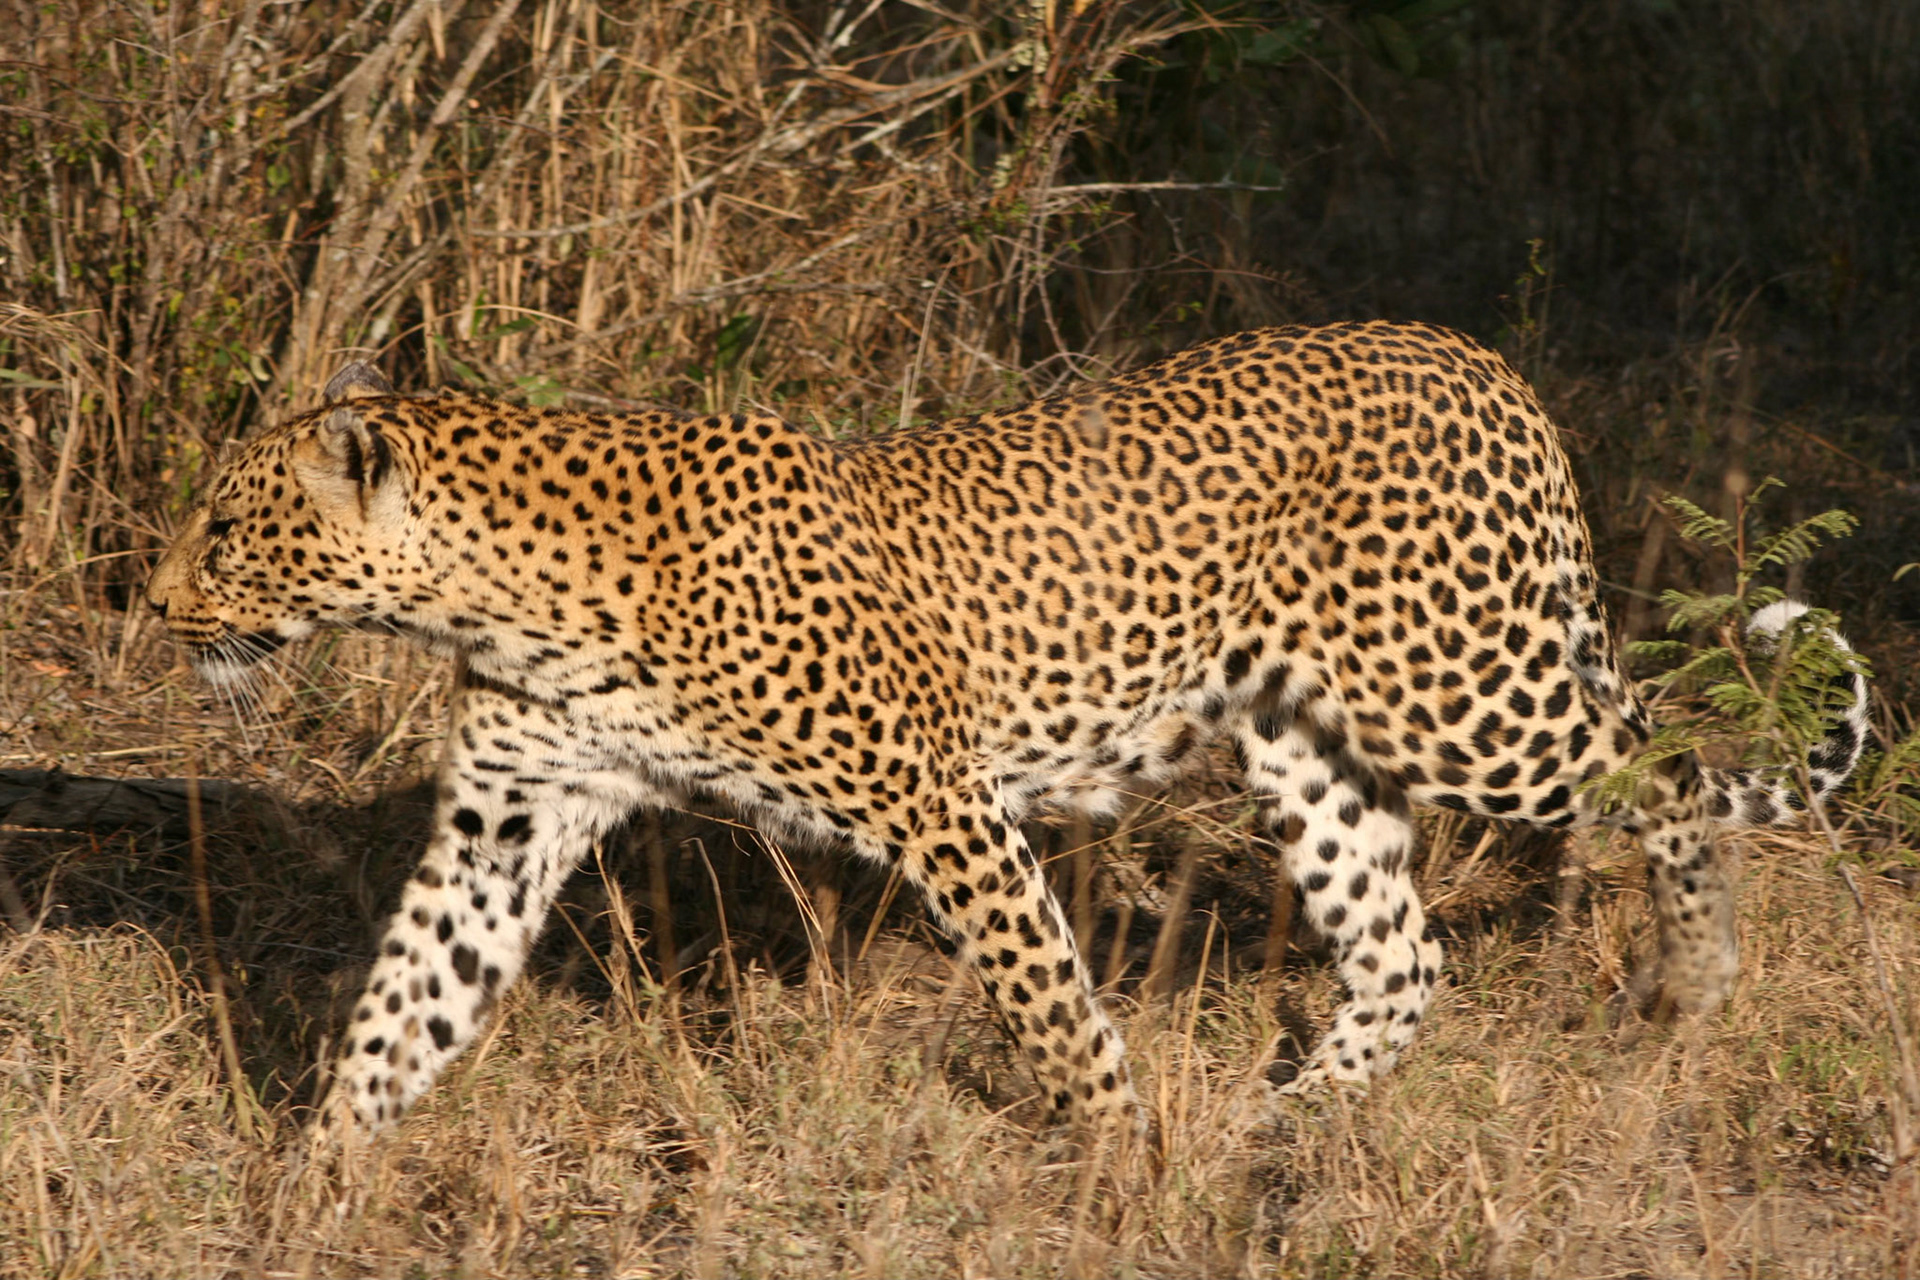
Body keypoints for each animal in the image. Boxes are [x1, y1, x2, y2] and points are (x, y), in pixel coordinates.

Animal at [146, 320, 1869, 1135]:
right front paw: (316, 1189)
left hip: (1467, 692)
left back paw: (1694, 985)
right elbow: (400, 1009)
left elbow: (1050, 1008)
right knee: (1406, 950)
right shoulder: (510, 818)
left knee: (1672, 780)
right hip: (1310, 744)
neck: (502, 596)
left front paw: (1122, 1164)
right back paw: (1287, 1122)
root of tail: (1482, 358)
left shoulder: (943, 805)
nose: (151, 606)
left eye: (227, 528)